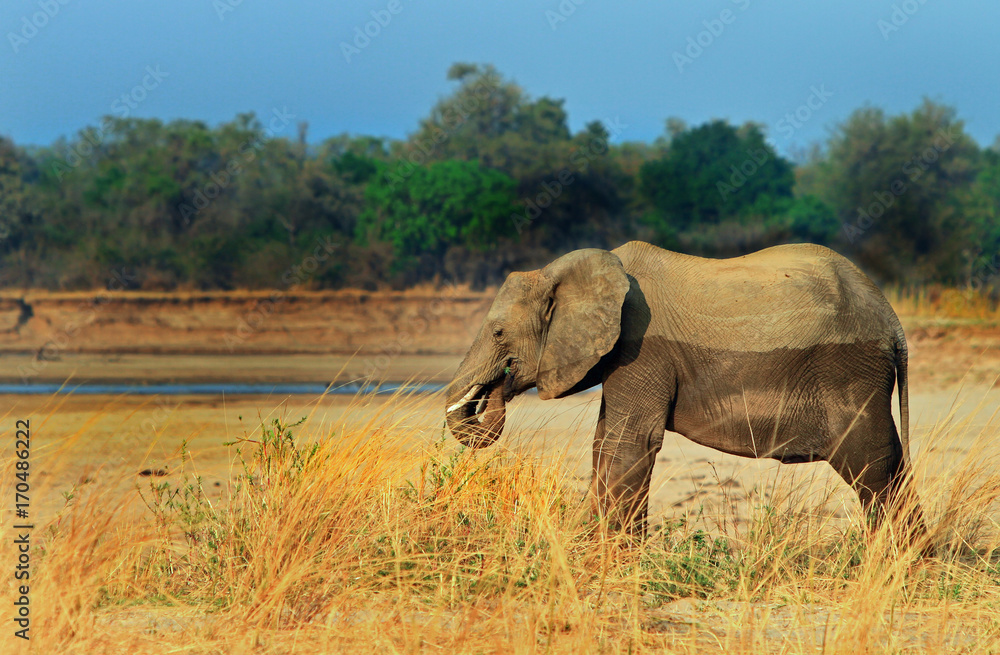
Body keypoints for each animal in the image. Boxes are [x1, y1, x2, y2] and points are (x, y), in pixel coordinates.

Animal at [446, 242, 920, 540]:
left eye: (498, 332)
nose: (499, 385)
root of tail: (892, 321)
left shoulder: (641, 349)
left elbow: (630, 444)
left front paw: (611, 558)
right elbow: (604, 443)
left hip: (849, 372)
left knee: (872, 463)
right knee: (890, 464)